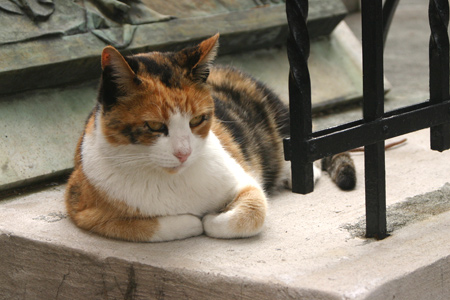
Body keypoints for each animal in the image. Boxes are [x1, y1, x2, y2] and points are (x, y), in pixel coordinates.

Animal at [65, 34, 356, 243]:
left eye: (197, 120)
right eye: (154, 125)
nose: (184, 153)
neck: (172, 180)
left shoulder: (243, 180)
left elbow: (253, 211)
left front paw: (212, 220)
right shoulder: (81, 208)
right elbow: (145, 227)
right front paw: (192, 222)